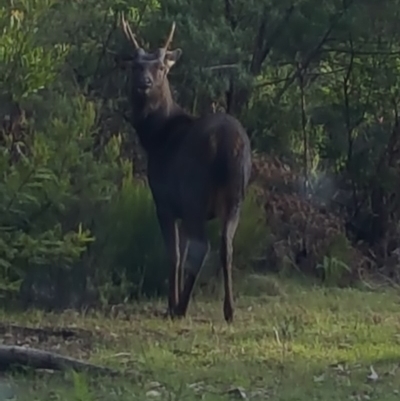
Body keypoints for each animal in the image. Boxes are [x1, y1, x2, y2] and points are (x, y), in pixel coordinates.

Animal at [117, 14, 252, 322]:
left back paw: (181, 308)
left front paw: (170, 302)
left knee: (203, 247)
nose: (144, 83)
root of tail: (227, 144)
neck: (156, 137)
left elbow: (175, 253)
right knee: (226, 244)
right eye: (136, 65)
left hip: (194, 193)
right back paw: (229, 310)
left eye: (160, 67)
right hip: (236, 195)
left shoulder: (164, 200)